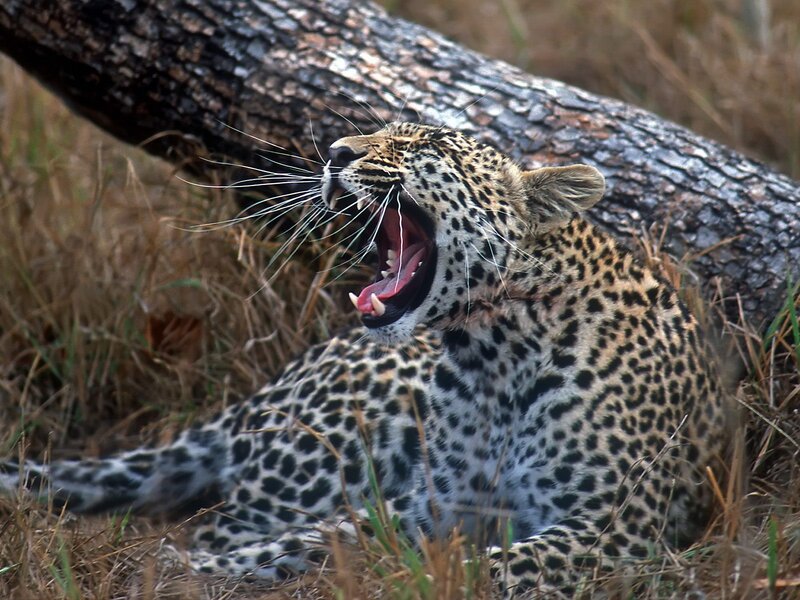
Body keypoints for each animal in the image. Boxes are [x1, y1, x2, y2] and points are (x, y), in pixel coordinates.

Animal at [1, 122, 731, 597]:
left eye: (425, 145)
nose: (333, 152)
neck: (494, 355)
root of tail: (266, 390)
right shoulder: (436, 503)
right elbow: (327, 537)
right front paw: (185, 570)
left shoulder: (616, 527)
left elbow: (488, 568)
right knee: (235, 521)